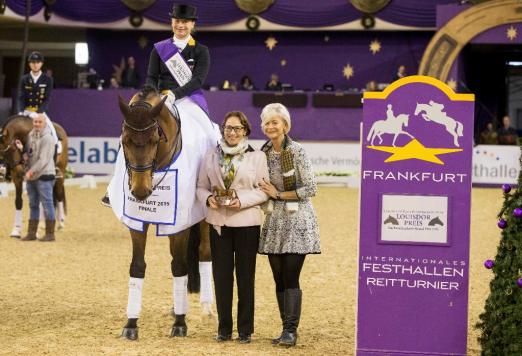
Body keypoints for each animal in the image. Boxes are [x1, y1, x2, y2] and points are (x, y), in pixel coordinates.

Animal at [115, 87, 211, 340]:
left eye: (155, 140)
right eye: (125, 141)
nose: (140, 191)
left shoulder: (179, 226)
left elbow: (179, 267)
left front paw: (180, 323)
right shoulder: (137, 222)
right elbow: (137, 266)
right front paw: (131, 324)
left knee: (204, 254)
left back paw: (207, 308)